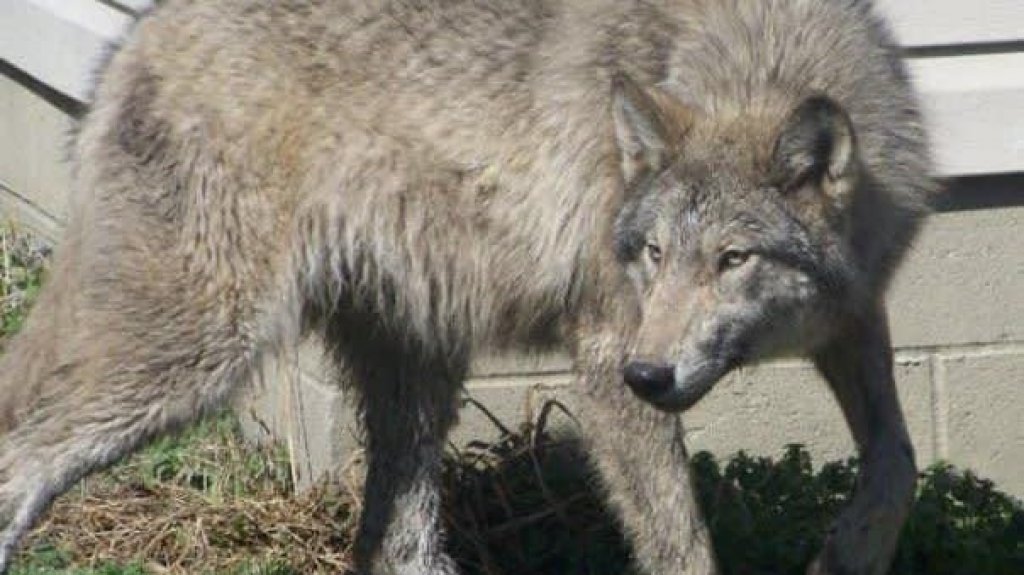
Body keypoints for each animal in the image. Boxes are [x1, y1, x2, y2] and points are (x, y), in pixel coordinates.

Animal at [0, 0, 936, 573]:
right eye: (653, 253)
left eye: (732, 259)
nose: (650, 374)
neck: (752, 54)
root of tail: (134, 39)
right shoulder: (605, 358)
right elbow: (682, 548)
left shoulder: (855, 316)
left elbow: (899, 461)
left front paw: (848, 553)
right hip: (196, 359)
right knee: (18, 459)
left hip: (418, 373)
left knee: (391, 545)